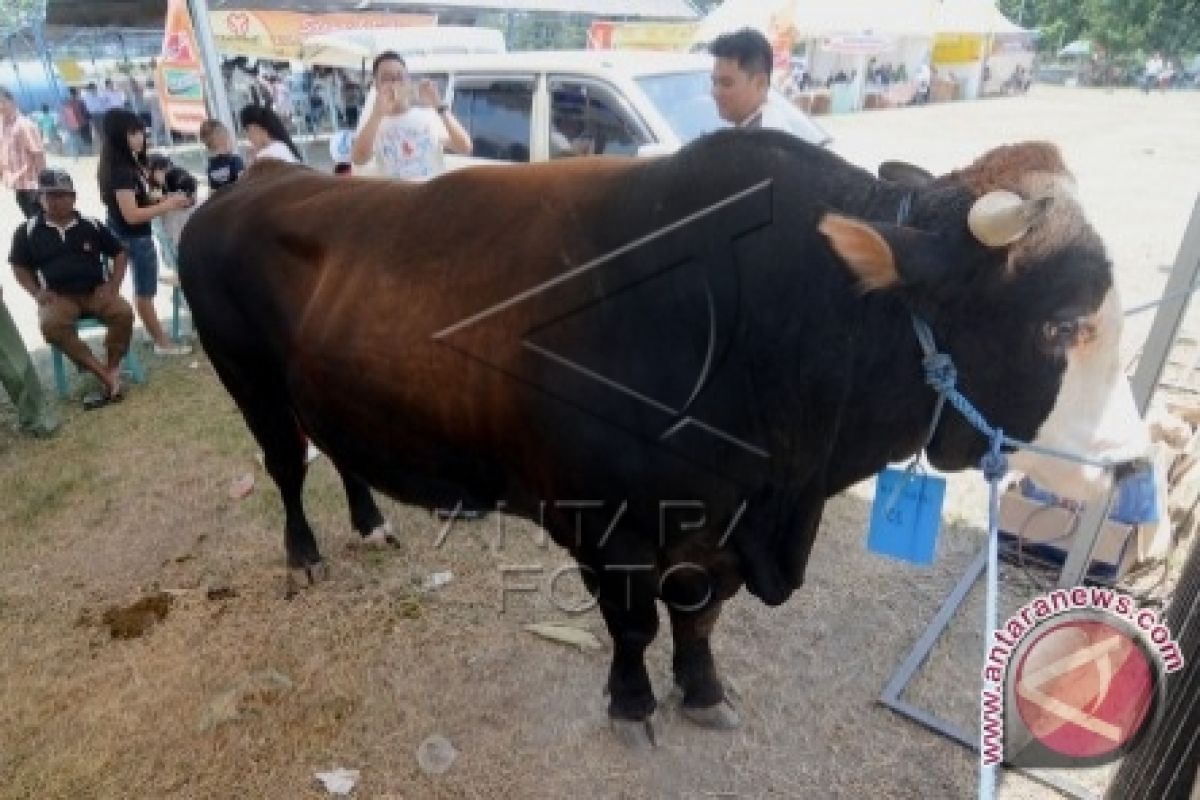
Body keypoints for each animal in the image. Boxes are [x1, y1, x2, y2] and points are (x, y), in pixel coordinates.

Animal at [177, 130, 1123, 738]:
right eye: (1059, 323)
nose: (1127, 464)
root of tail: (253, 178)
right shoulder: (610, 529)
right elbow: (633, 625)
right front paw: (632, 705)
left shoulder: (721, 533)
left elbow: (699, 619)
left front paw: (702, 693)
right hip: (246, 379)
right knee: (285, 464)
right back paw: (304, 555)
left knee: (337, 449)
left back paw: (373, 522)